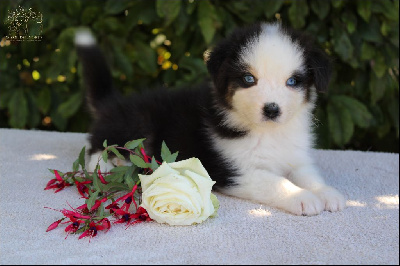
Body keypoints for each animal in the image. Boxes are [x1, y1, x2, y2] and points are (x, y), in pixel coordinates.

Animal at [76, 22, 346, 216]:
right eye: (249, 79)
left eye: (293, 81)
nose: (272, 110)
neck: (268, 132)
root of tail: (114, 102)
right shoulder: (235, 170)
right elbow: (275, 182)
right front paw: (303, 198)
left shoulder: (296, 157)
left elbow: (309, 175)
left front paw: (327, 193)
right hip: (137, 123)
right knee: (98, 144)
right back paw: (105, 166)